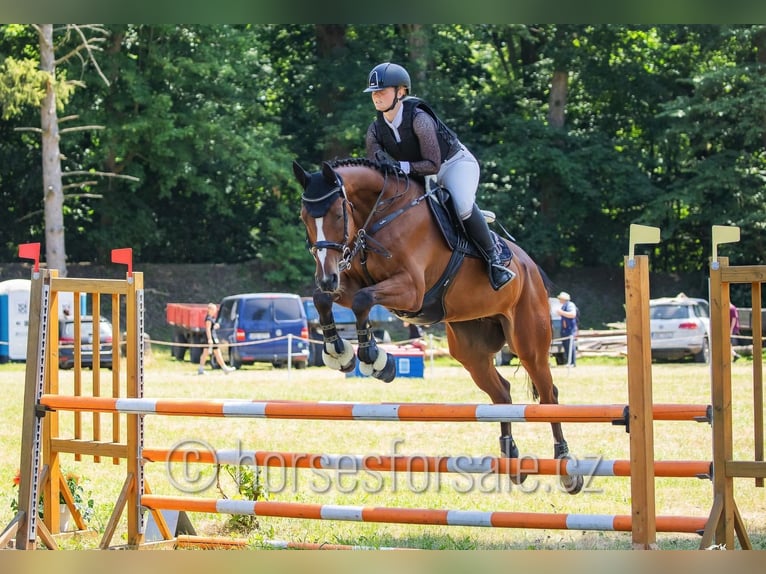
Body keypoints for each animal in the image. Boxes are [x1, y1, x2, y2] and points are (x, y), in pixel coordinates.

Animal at [293, 157, 583, 494]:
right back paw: (512, 459)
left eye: (339, 214)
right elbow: (325, 300)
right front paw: (339, 352)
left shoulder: (411, 290)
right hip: (470, 351)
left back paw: (566, 468)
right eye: (304, 218)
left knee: (549, 395)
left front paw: (375, 360)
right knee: (502, 394)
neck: (380, 217)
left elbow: (363, 301)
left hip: (529, 343)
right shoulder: (350, 283)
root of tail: (531, 267)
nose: (327, 277)